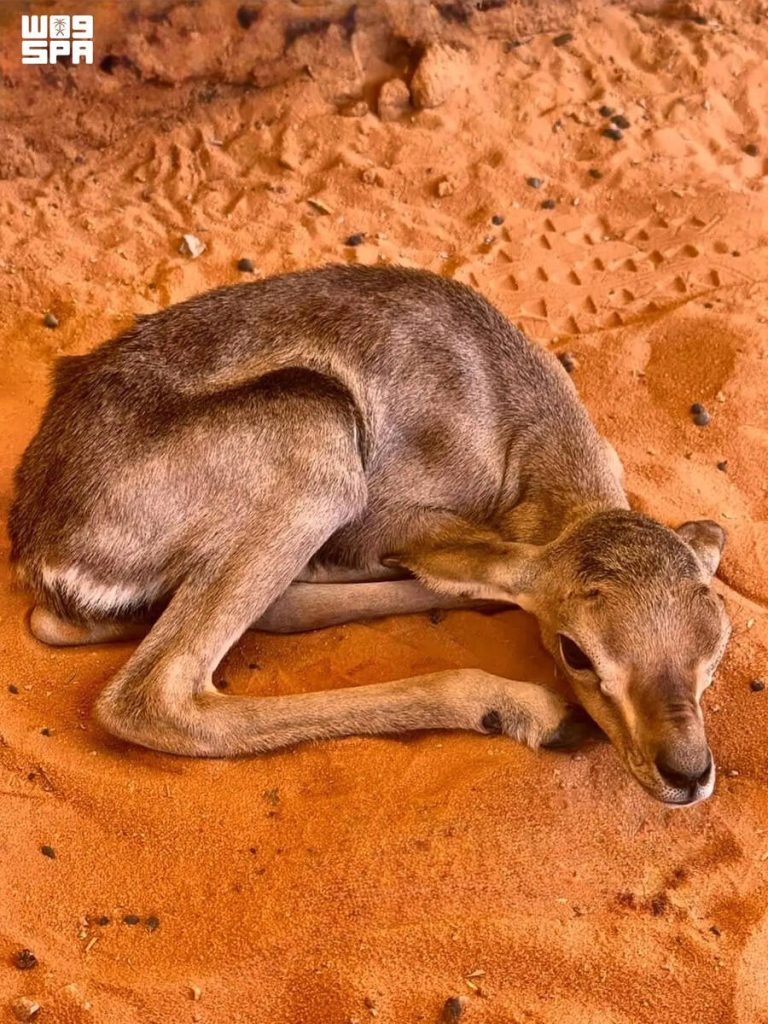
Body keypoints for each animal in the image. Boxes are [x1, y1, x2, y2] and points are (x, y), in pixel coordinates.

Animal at [9, 266, 730, 805]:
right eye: (576, 651)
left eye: (717, 643)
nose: (686, 771)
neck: (519, 433)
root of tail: (40, 545)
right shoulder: (406, 517)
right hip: (317, 440)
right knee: (155, 696)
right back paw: (527, 710)